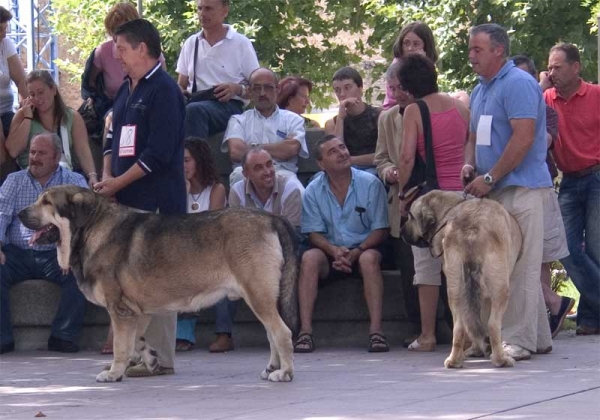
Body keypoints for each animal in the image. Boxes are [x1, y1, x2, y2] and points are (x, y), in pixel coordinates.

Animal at [17, 185, 298, 382]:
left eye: (46, 202)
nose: (18, 212)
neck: (90, 228)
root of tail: (272, 218)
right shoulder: (136, 311)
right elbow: (136, 341)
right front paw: (150, 360)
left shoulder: (119, 311)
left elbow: (120, 346)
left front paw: (114, 373)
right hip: (261, 298)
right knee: (272, 333)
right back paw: (272, 368)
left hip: (257, 295)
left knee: (282, 333)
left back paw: (285, 373)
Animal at [400, 189, 524, 370]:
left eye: (410, 216)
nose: (400, 231)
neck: (448, 209)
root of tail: (471, 228)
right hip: (500, 287)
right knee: (493, 324)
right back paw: (501, 359)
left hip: (456, 287)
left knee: (460, 325)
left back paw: (454, 360)